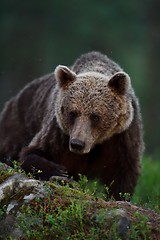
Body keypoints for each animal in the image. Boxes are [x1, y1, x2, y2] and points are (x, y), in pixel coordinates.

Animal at [0, 52, 144, 199]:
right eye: (73, 113)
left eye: (95, 116)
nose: (77, 144)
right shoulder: (58, 133)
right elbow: (30, 153)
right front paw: (59, 171)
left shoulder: (122, 137)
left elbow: (123, 171)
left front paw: (119, 195)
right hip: (18, 122)